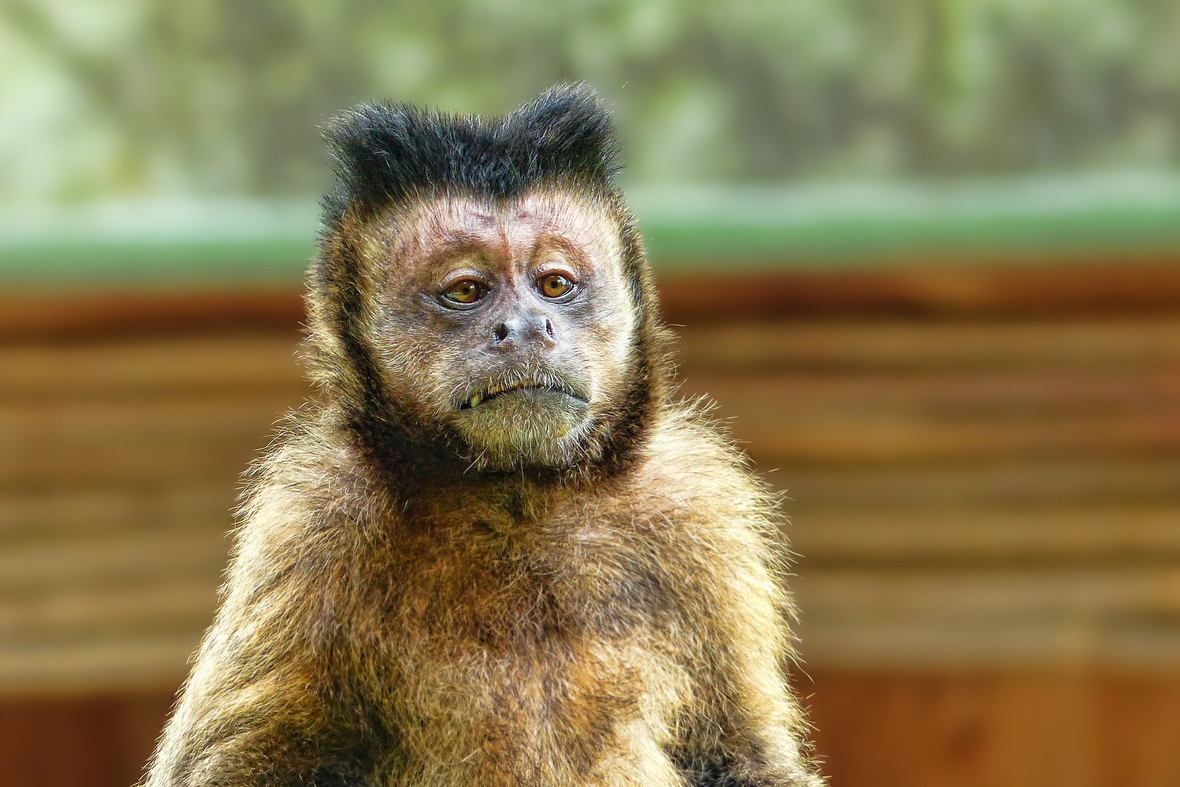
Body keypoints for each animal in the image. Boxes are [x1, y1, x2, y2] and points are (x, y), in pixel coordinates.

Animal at [142, 84, 825, 787]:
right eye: (466, 291)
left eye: (554, 284)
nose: (524, 326)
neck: (516, 499)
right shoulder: (312, 525)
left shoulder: (696, 516)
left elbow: (742, 757)